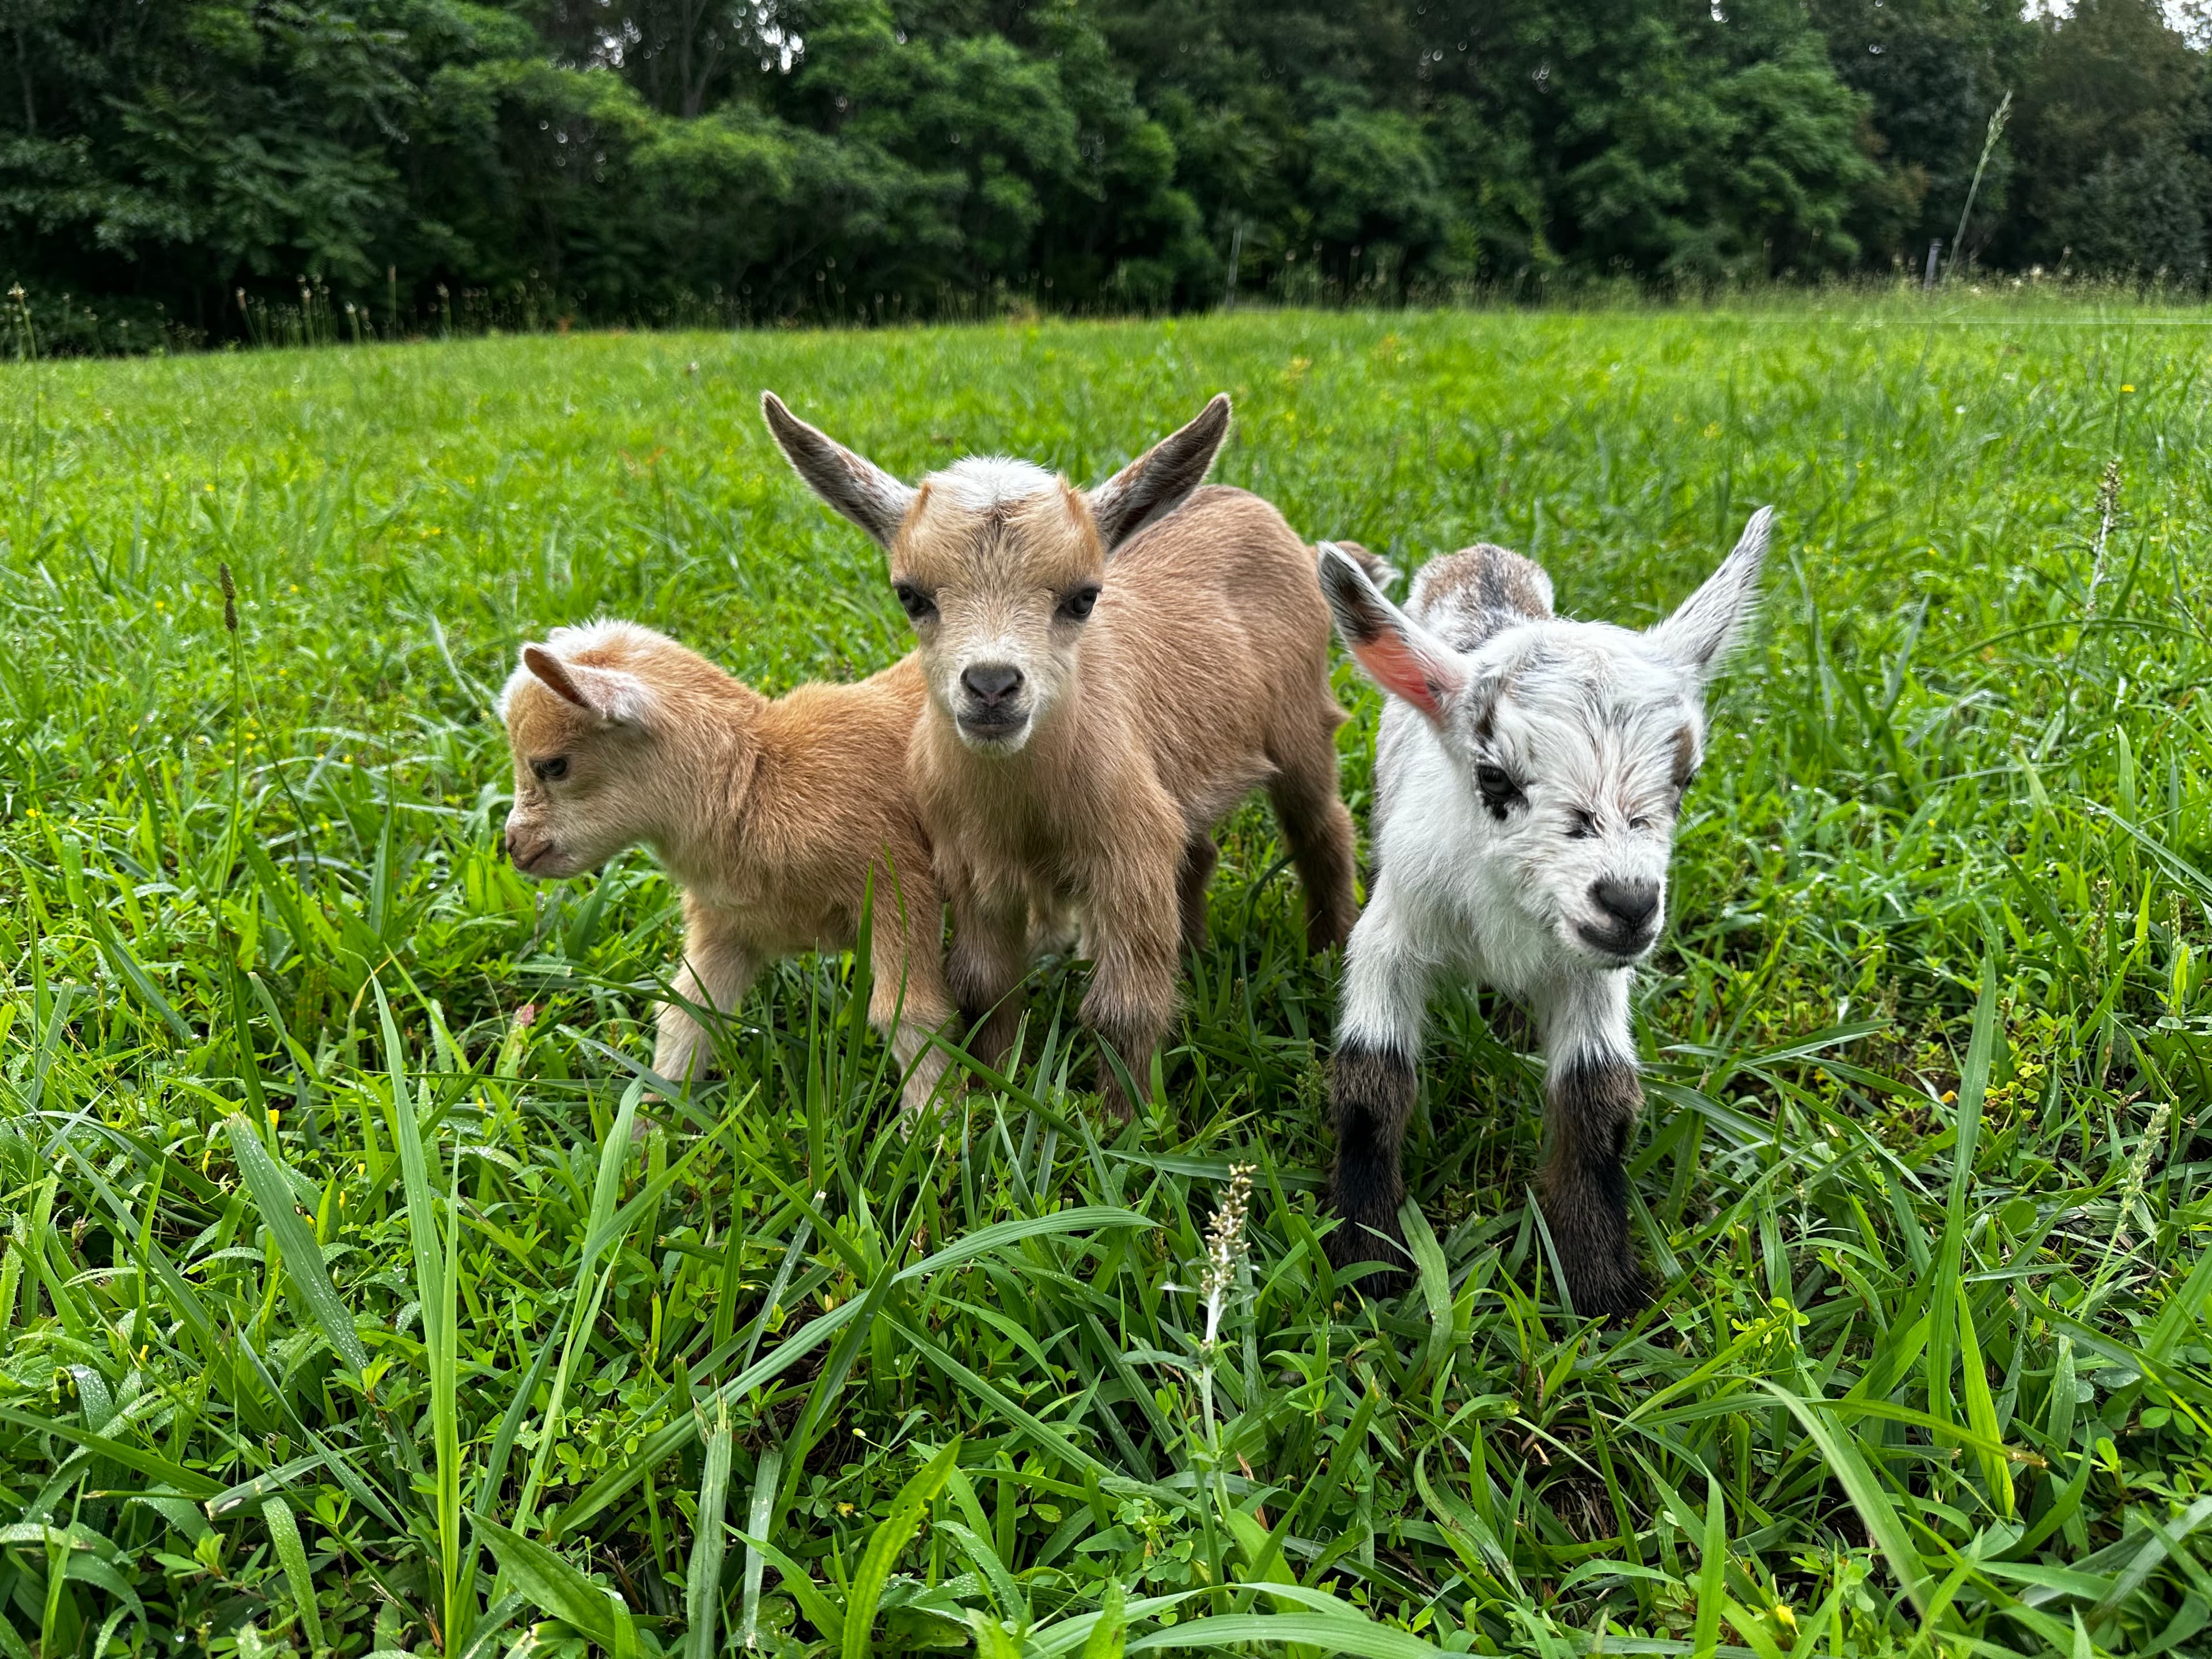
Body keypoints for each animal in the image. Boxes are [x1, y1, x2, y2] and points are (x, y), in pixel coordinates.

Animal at [498, 619, 954, 1119]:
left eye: (553, 766)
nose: (514, 846)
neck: (759, 782)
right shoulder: (729, 924)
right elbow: (687, 1015)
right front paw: (649, 1125)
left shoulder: (896, 885)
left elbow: (908, 1015)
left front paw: (935, 1123)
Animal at [761, 392, 1360, 1113]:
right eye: (911, 595)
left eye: (1084, 597)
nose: (992, 686)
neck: (1024, 809)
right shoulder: (972, 863)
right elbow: (984, 987)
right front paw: (995, 1089)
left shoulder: (1127, 854)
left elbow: (1122, 1008)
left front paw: (1126, 1119)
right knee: (1199, 851)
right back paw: (1194, 954)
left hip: (1302, 722)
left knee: (1322, 829)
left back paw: (1326, 950)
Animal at [1314, 510, 1771, 1316]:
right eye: (1494, 778)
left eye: (1687, 777)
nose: (1628, 904)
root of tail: (1482, 558)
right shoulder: (1391, 934)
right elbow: (1372, 1083)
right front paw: (1366, 1265)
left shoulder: (1590, 967)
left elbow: (1597, 1097)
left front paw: (1598, 1284)